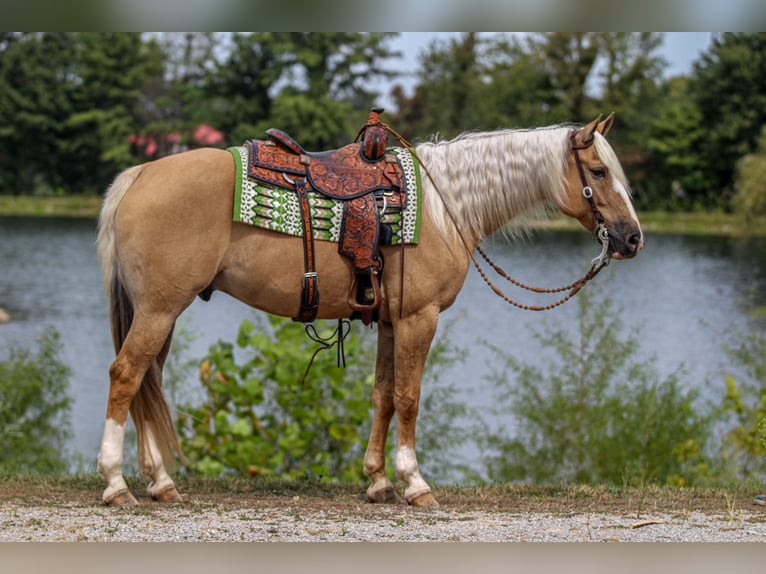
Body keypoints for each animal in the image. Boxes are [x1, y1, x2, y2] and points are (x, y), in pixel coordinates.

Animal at [95, 113, 642, 507]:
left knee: (147, 382)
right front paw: (415, 483)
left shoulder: (391, 322)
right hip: (160, 309)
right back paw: (116, 484)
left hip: (160, 312)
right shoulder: (420, 318)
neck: (446, 208)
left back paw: (161, 483)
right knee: (126, 375)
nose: (632, 238)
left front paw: (378, 482)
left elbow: (382, 395)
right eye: (598, 172)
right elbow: (409, 398)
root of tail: (139, 174)